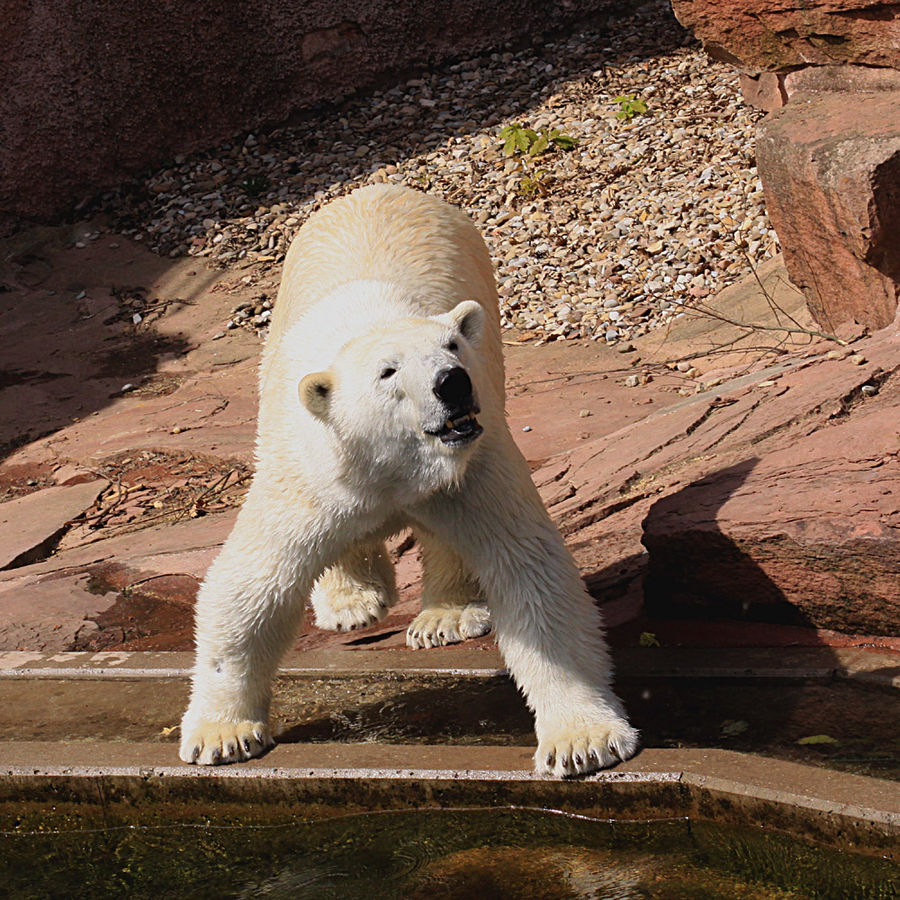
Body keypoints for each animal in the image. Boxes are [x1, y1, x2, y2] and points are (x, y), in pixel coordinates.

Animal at [179, 183, 636, 772]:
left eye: (451, 347)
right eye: (388, 372)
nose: (453, 383)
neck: (392, 466)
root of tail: (379, 187)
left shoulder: (472, 469)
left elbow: (529, 572)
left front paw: (582, 742)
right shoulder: (311, 471)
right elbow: (251, 588)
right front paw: (222, 735)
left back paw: (444, 617)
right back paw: (352, 602)